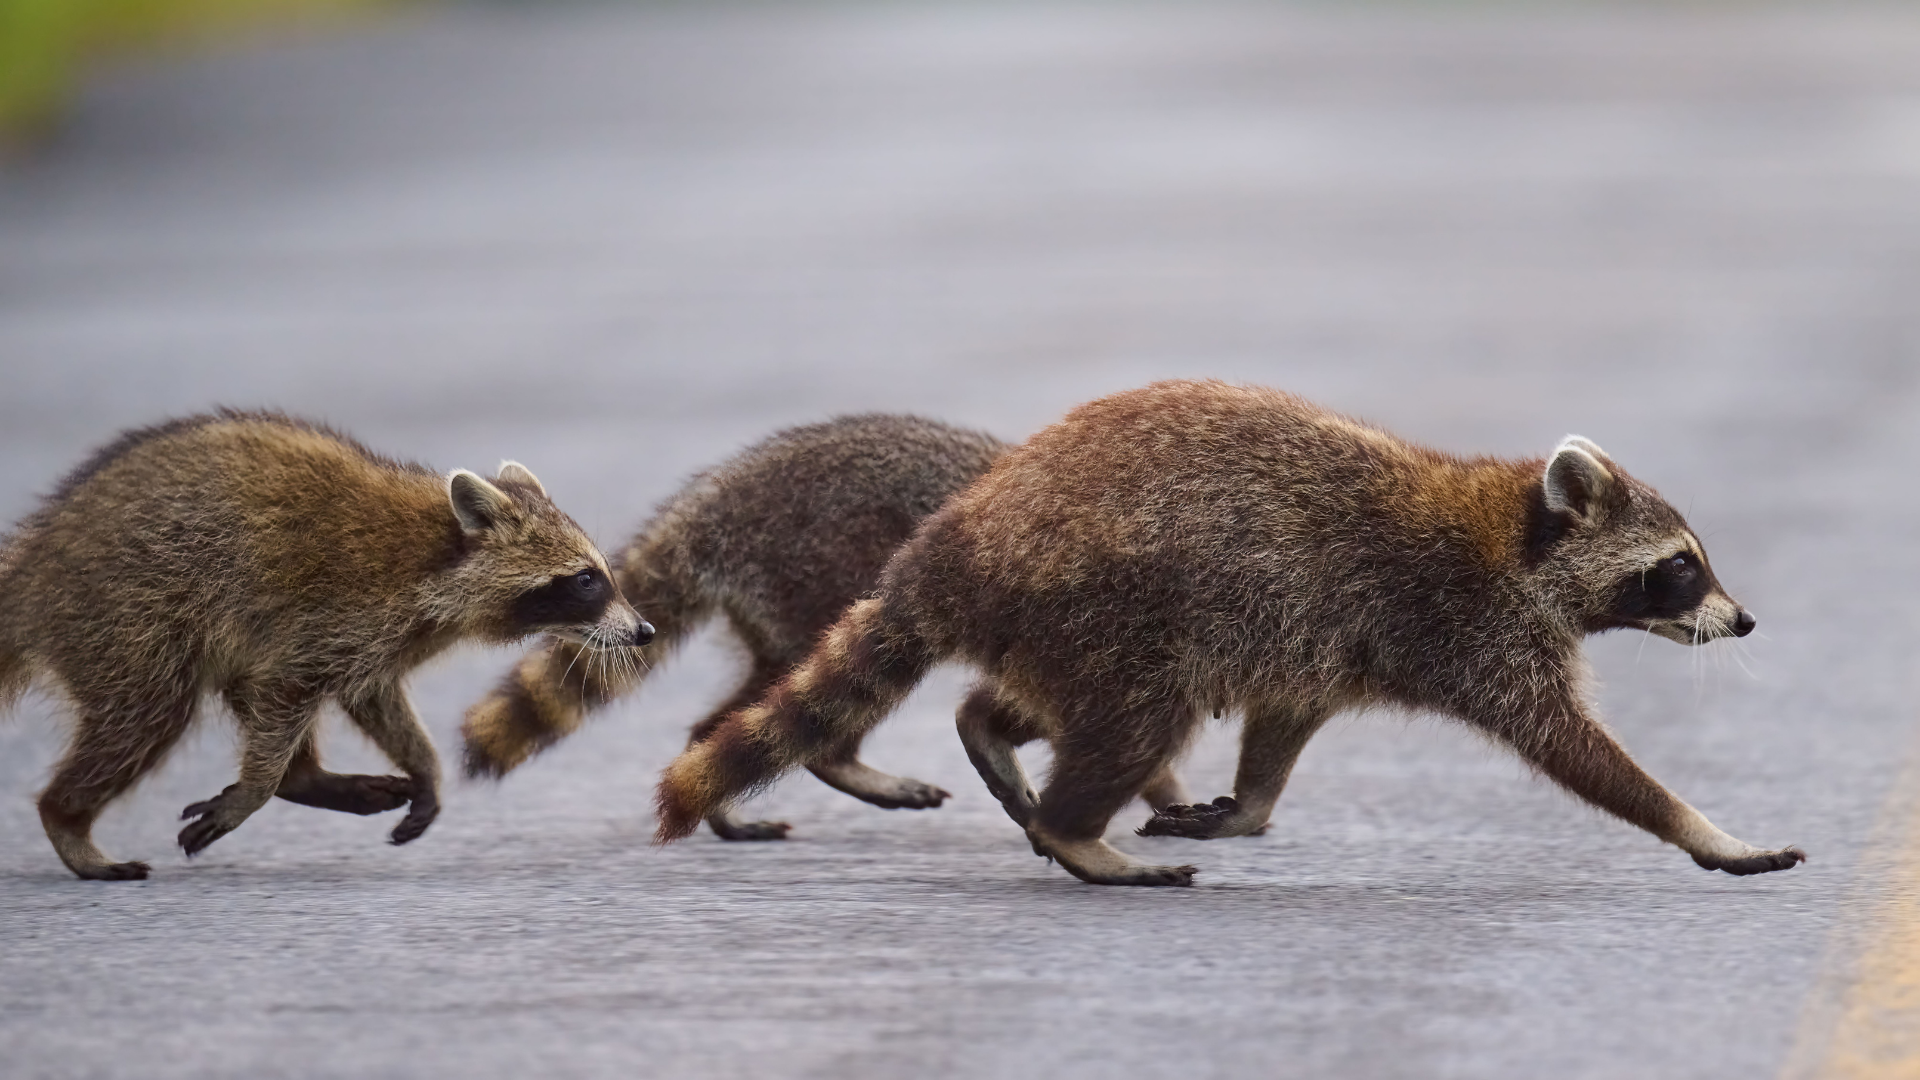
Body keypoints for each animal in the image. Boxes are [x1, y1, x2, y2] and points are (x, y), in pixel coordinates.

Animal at [0, 410, 647, 880]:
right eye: (586, 580)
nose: (644, 631)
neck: (440, 553)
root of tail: (35, 562)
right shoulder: (339, 613)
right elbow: (290, 685)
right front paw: (256, 787)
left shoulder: (378, 639)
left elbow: (371, 695)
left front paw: (424, 767)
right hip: (128, 615)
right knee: (149, 711)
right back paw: (66, 818)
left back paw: (305, 776)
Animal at [654, 380, 1804, 887]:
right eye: (1683, 565)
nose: (1744, 619)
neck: (1511, 532)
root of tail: (953, 541)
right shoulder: (1469, 627)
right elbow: (1578, 752)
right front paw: (1704, 828)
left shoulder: (1331, 643)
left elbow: (1284, 721)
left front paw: (1248, 807)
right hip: (1103, 601)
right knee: (1140, 714)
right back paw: (1077, 832)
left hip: (1060, 625)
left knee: (1041, 702)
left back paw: (1001, 742)